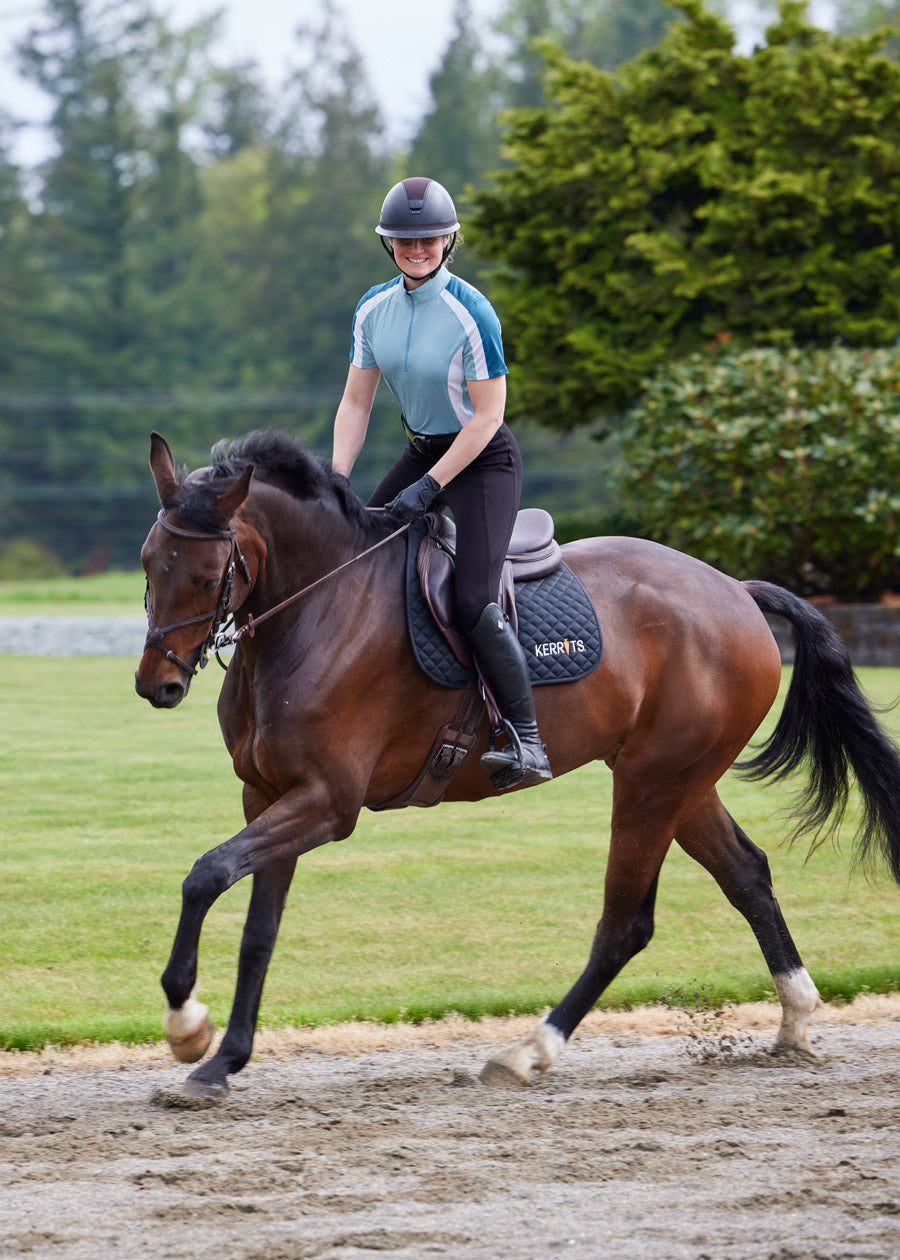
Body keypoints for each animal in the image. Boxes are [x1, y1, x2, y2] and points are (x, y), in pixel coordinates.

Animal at [132, 428, 897, 1098]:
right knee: (747, 874)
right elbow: (257, 929)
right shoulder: (268, 796)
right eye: (146, 564)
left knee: (626, 924)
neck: (317, 606)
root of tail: (736, 590)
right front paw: (222, 1060)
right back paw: (795, 1021)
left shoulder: (325, 803)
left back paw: (527, 1052)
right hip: (678, 780)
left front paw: (186, 1025)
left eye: (206, 575)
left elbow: (205, 875)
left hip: (654, 784)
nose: (155, 687)